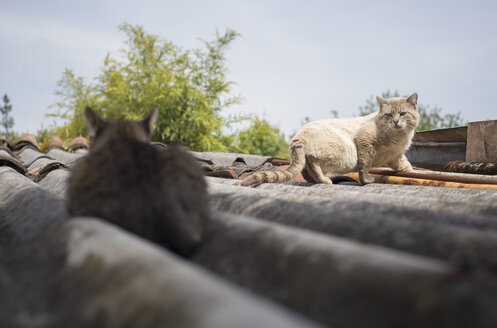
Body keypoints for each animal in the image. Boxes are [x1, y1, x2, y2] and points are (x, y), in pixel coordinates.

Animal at [240, 92, 418, 186]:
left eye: (403, 114)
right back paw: (325, 180)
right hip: (345, 154)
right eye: (388, 115)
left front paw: (414, 173)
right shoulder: (364, 142)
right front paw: (366, 181)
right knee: (313, 161)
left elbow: (407, 167)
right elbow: (364, 167)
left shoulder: (396, 156)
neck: (398, 136)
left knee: (305, 169)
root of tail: (299, 136)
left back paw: (317, 180)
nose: (396, 121)